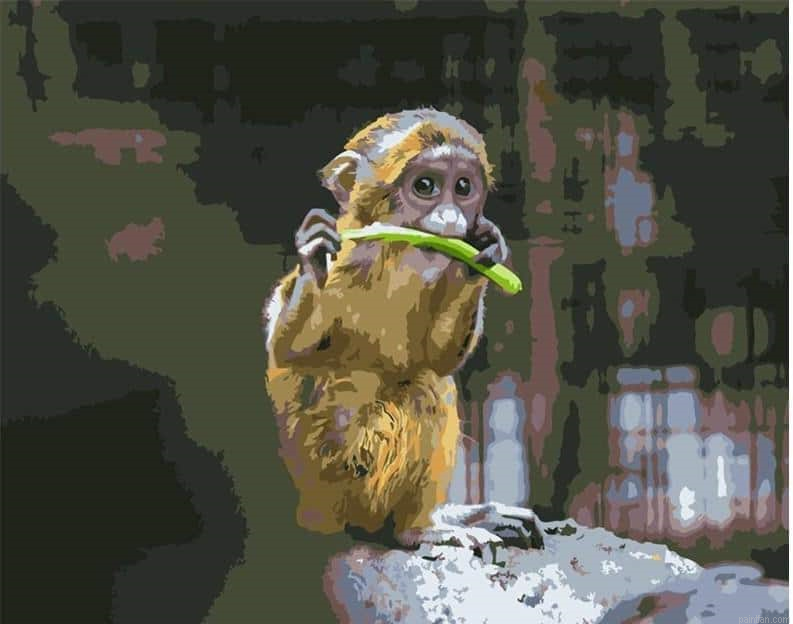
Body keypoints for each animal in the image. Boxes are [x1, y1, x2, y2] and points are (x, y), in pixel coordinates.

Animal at [262, 108, 538, 550]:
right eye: (425, 186)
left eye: (463, 187)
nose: (451, 219)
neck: (393, 258)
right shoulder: (349, 261)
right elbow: (288, 353)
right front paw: (314, 258)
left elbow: (437, 357)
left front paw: (483, 252)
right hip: (334, 490)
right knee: (420, 391)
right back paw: (415, 529)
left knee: (429, 381)